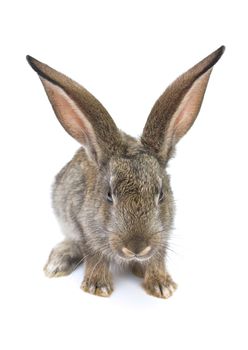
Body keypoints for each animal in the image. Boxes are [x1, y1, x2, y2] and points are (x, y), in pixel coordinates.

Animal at [26, 45, 225, 298]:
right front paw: (97, 286)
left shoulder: (163, 235)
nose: (137, 247)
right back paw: (57, 263)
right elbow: (95, 256)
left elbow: (157, 258)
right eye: (109, 195)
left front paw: (162, 285)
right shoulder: (86, 231)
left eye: (161, 195)